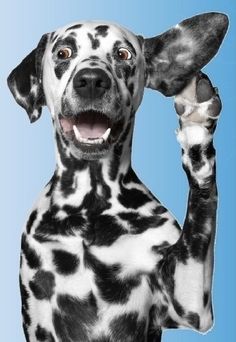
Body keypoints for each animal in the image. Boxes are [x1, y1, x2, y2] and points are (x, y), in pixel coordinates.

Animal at [7, 12, 229, 342]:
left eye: (123, 54)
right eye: (64, 53)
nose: (91, 81)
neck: (91, 209)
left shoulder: (189, 303)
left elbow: (201, 212)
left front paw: (196, 124)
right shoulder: (40, 318)